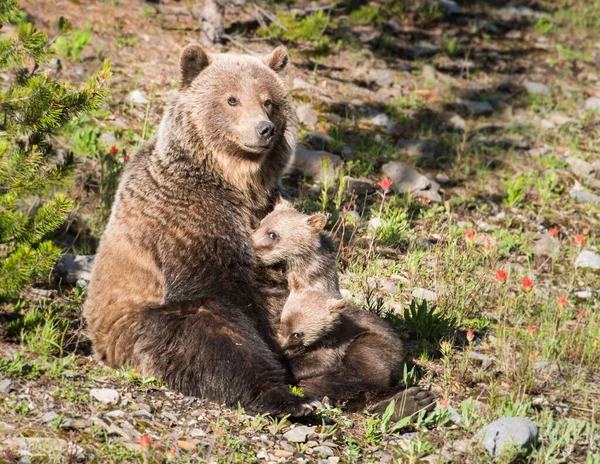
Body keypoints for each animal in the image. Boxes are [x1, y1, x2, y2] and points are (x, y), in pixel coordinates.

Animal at [83, 44, 324, 416]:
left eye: (269, 100)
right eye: (232, 99)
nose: (264, 129)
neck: (235, 181)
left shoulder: (266, 208)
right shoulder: (188, 215)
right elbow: (225, 288)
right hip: (140, 330)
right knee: (212, 337)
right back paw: (288, 398)